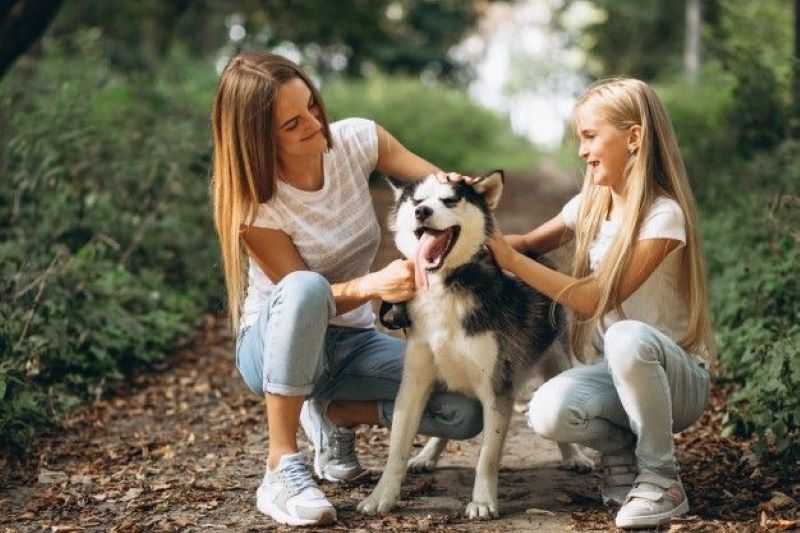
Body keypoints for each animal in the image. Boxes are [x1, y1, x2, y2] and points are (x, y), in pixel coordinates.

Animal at [360, 171, 592, 520]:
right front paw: (381, 496)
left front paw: (482, 501)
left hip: (556, 363)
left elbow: (487, 457)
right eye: (417, 201)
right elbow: (397, 449)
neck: (446, 287)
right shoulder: (414, 383)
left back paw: (574, 456)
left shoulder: (497, 388)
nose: (422, 212)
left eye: (450, 200)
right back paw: (427, 455)